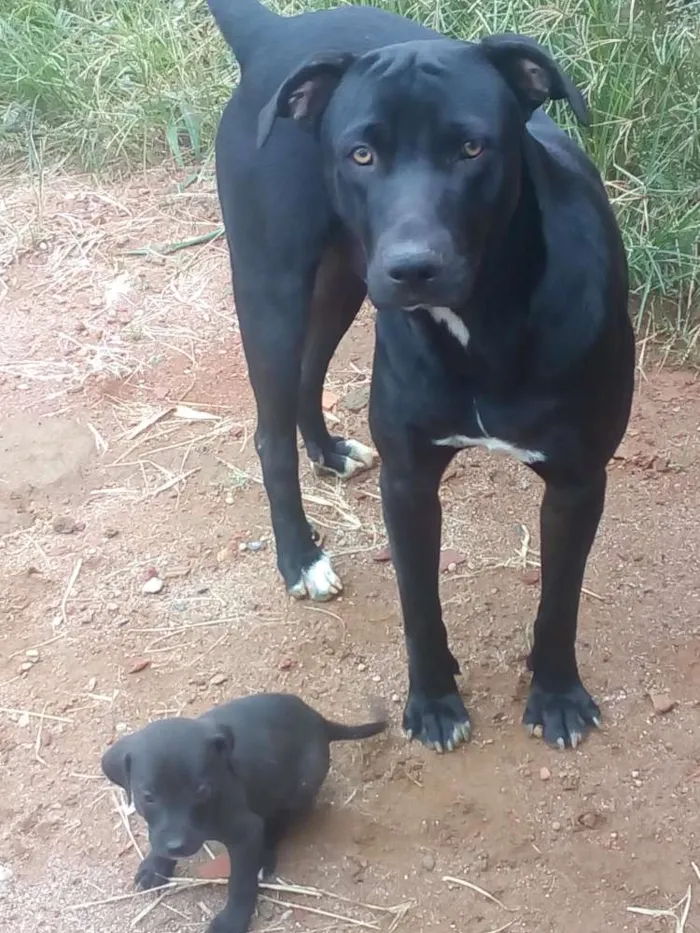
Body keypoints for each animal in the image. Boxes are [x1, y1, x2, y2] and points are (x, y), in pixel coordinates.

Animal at [101, 692, 386, 932]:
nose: (177, 846)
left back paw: (266, 855)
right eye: (148, 796)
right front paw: (156, 864)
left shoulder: (246, 832)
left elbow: (240, 883)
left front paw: (231, 921)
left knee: (280, 822)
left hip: (302, 785)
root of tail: (319, 721)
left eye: (201, 790)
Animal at [206, 0, 636, 748]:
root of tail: (277, 32)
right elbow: (418, 602)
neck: (488, 320)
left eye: (472, 148)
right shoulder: (409, 483)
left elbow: (559, 600)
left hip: (343, 280)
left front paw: (556, 693)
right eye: (361, 154)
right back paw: (300, 557)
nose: (412, 267)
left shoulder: (578, 481)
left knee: (309, 374)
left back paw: (328, 449)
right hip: (272, 288)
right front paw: (433, 699)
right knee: (269, 432)